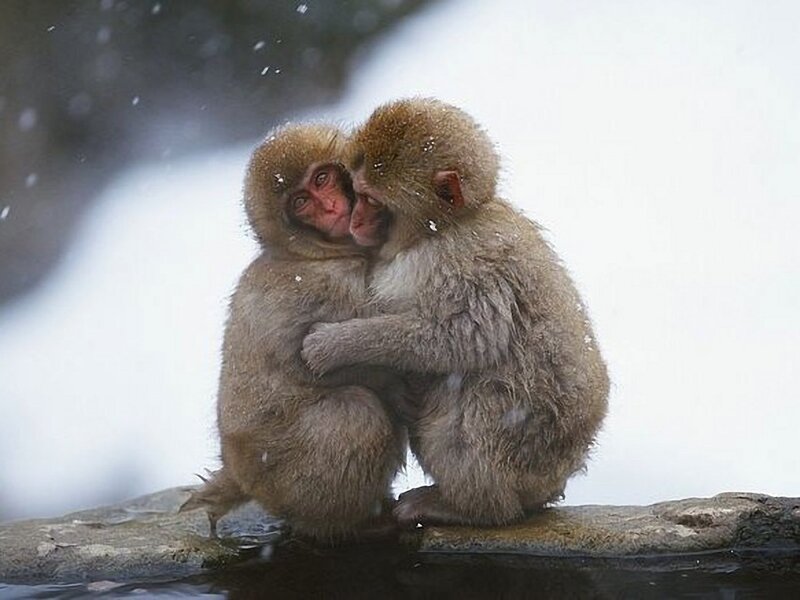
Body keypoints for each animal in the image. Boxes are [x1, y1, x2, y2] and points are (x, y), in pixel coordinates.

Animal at [181, 123, 406, 542]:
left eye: (322, 179)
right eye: (301, 202)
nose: (331, 208)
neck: (312, 253)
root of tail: (239, 473)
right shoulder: (327, 285)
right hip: (286, 475)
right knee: (357, 414)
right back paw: (354, 524)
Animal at [301, 98, 609, 527]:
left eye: (372, 201)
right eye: (355, 192)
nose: (355, 220)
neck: (441, 229)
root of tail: (555, 477)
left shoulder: (465, 264)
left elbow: (465, 338)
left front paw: (336, 344)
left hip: (521, 449)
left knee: (471, 402)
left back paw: (470, 507)